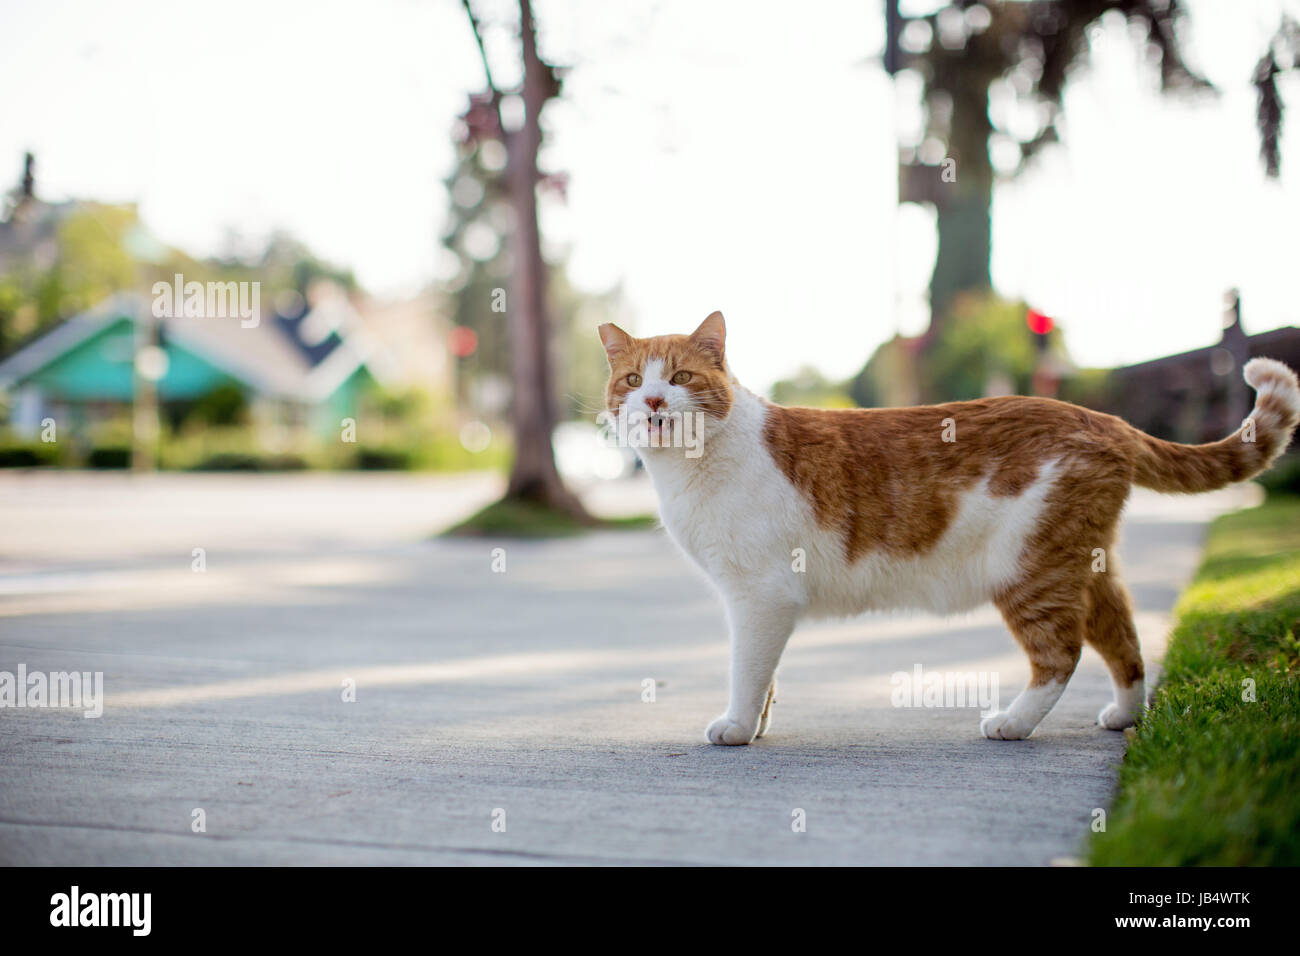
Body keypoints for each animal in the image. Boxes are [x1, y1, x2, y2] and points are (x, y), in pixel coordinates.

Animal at [595, 314, 1300, 749]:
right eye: (632, 380)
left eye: (680, 377)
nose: (652, 401)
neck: (691, 470)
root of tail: (1103, 417)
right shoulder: (757, 603)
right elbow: (765, 677)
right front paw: (759, 725)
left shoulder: (760, 597)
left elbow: (747, 671)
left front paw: (738, 728)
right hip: (1082, 566)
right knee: (1122, 641)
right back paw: (1125, 716)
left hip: (1029, 569)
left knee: (1061, 653)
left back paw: (1012, 723)